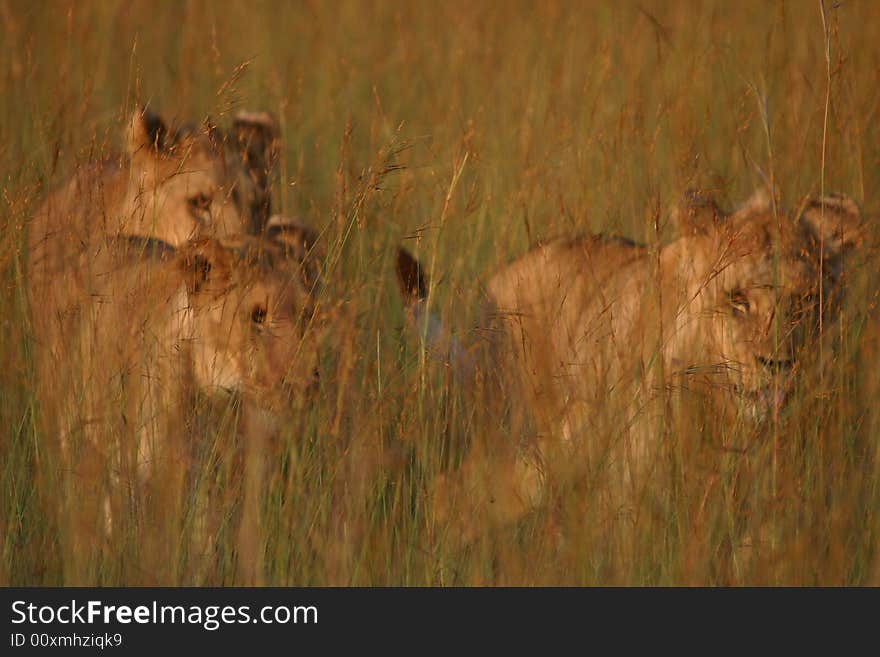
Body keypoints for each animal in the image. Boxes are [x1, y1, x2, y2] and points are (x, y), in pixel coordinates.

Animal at [396, 187, 864, 540]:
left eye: (804, 302)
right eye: (737, 300)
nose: (776, 364)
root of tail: (499, 279)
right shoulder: (629, 493)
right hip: (535, 441)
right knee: (453, 494)